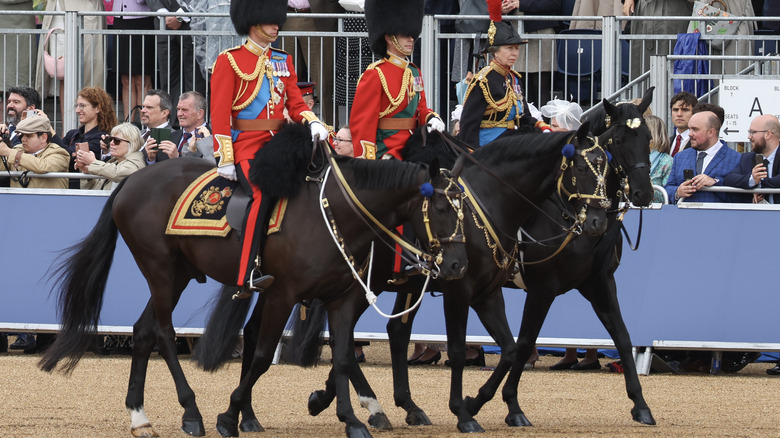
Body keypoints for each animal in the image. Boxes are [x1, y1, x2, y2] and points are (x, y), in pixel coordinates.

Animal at [39, 124, 466, 438]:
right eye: (440, 206)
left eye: (463, 206)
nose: (457, 265)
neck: (336, 215)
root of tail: (134, 179)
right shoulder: (282, 295)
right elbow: (261, 356)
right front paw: (230, 416)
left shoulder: (342, 298)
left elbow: (344, 356)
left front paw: (351, 419)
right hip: (160, 269)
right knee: (162, 332)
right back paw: (192, 412)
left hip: (178, 274)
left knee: (144, 331)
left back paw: (140, 416)